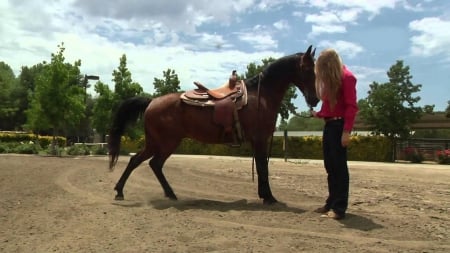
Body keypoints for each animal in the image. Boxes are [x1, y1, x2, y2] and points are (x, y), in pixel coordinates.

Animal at [108, 45, 320, 204]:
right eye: (308, 69)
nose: (315, 99)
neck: (261, 96)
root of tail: (152, 101)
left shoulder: (258, 141)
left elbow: (262, 168)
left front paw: (265, 195)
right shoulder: (259, 139)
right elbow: (262, 168)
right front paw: (269, 197)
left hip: (156, 143)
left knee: (144, 162)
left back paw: (157, 193)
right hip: (166, 143)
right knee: (148, 163)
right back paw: (126, 191)